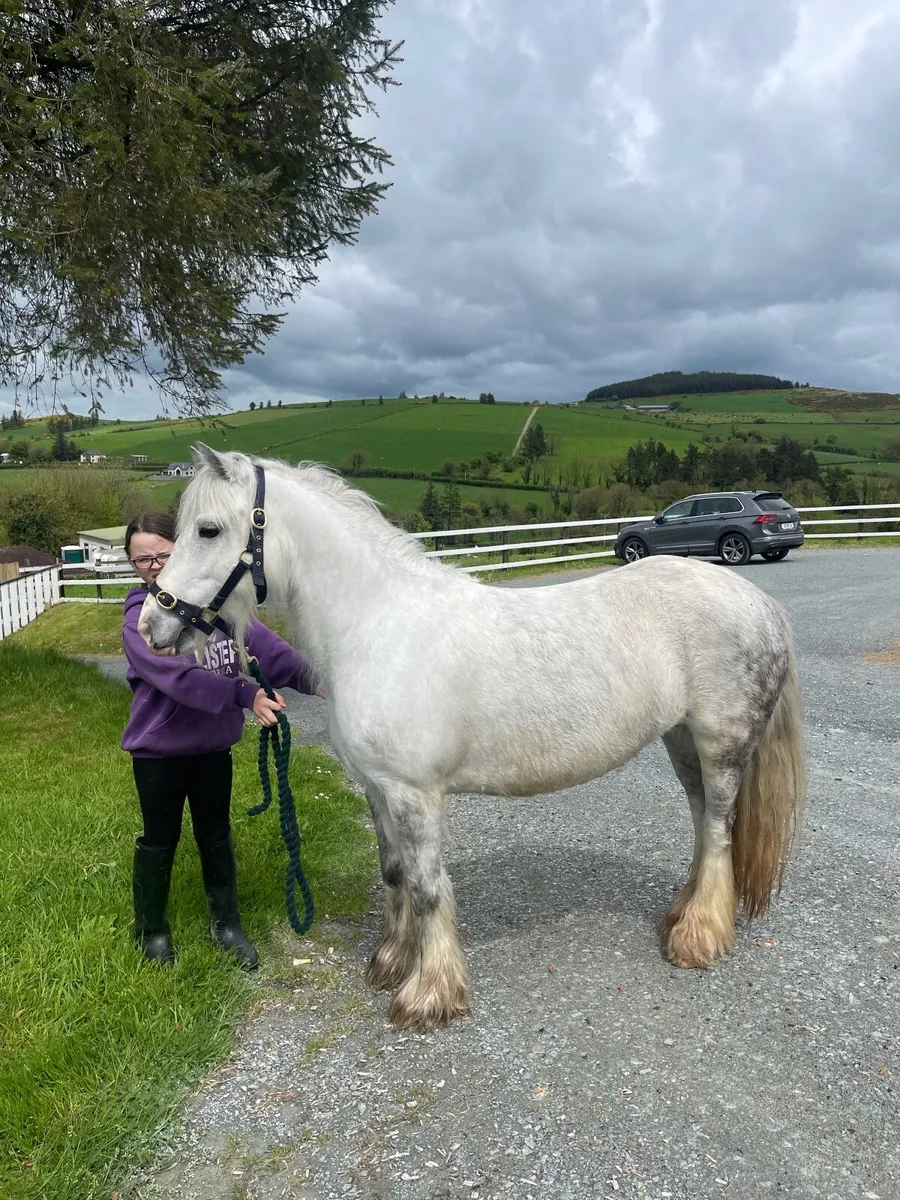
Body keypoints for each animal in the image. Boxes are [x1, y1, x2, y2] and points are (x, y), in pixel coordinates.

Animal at [140, 444, 806, 1031]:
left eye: (207, 529)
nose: (152, 624)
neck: (378, 624)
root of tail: (762, 604)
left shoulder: (415, 794)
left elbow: (428, 887)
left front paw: (429, 996)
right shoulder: (378, 789)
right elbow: (394, 873)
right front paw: (391, 963)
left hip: (720, 746)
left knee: (718, 830)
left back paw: (698, 938)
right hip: (681, 741)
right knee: (701, 823)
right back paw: (679, 918)